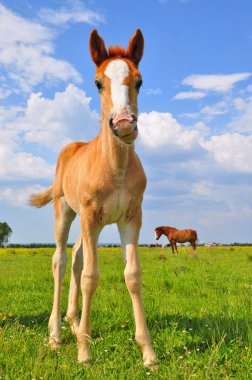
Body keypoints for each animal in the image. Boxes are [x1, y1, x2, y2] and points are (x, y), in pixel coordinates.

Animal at [29, 29, 156, 368]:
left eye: (139, 81)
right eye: (98, 82)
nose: (123, 124)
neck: (115, 166)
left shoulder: (131, 218)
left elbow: (133, 276)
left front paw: (148, 353)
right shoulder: (89, 216)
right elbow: (90, 276)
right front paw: (84, 352)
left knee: (75, 255)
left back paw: (73, 323)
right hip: (65, 210)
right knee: (60, 259)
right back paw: (56, 335)